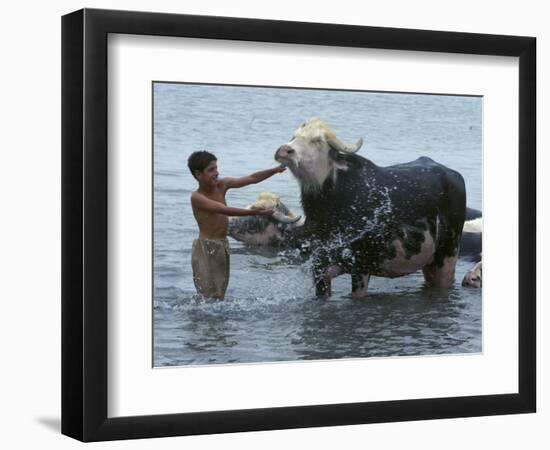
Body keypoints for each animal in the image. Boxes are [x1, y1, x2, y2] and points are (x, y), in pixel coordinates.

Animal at [270, 118, 468, 298]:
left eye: (317, 140)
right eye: (294, 136)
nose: (284, 150)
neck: (329, 213)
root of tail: (453, 175)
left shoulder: (361, 266)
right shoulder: (319, 268)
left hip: (448, 255)